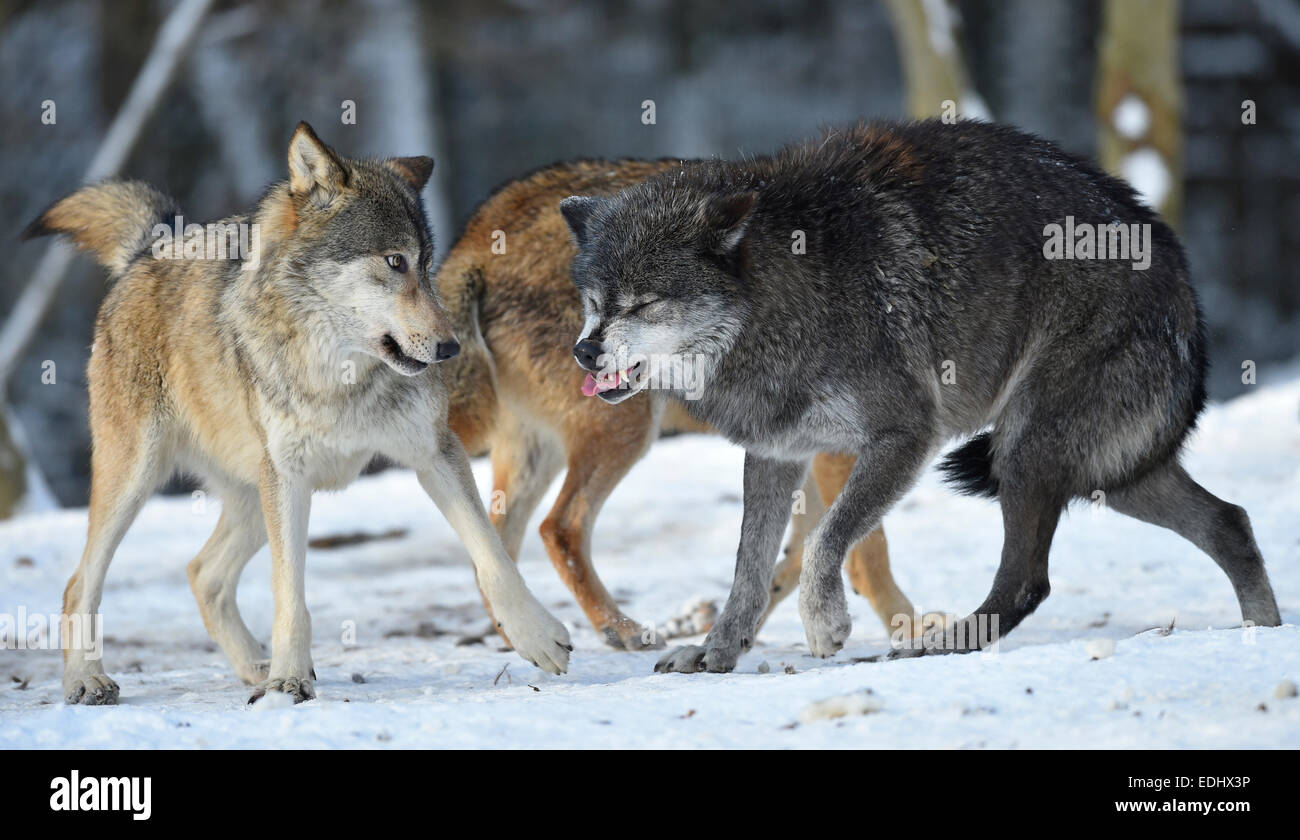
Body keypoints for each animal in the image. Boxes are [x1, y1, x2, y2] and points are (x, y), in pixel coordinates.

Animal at [25, 120, 572, 702]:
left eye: (426, 265)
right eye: (394, 261)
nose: (450, 349)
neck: (339, 375)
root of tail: (149, 248)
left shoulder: (434, 452)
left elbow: (491, 556)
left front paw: (537, 636)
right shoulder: (288, 477)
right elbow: (289, 590)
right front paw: (290, 678)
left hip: (248, 495)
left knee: (202, 573)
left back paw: (254, 667)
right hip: (139, 477)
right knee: (80, 582)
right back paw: (88, 680)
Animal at [556, 118, 1279, 676]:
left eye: (643, 304)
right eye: (593, 301)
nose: (584, 353)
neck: (785, 294)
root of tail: (1184, 280)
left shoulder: (904, 437)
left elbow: (826, 541)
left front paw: (825, 626)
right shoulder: (775, 454)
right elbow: (747, 570)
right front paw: (716, 654)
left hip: (1027, 451)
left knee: (1027, 580)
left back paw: (941, 644)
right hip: (1106, 472)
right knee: (1232, 523)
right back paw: (1264, 633)